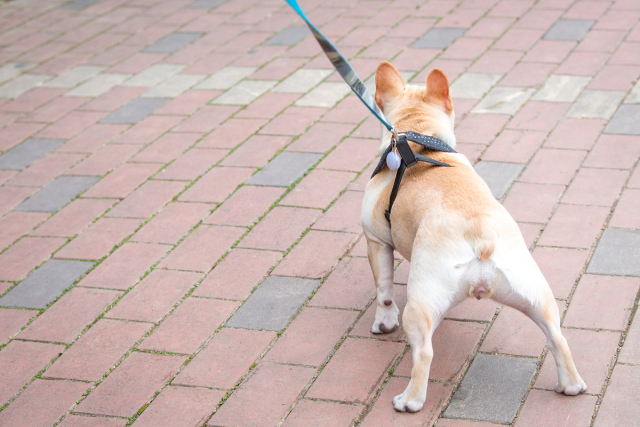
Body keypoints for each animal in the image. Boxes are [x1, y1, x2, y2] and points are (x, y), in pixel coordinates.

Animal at [360, 61, 584, 412]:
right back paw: (571, 385)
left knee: (424, 352)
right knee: (557, 337)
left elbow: (383, 290)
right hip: (532, 290)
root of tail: (481, 235)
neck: (417, 137)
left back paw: (409, 400)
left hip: (420, 301)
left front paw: (383, 322)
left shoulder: (376, 241)